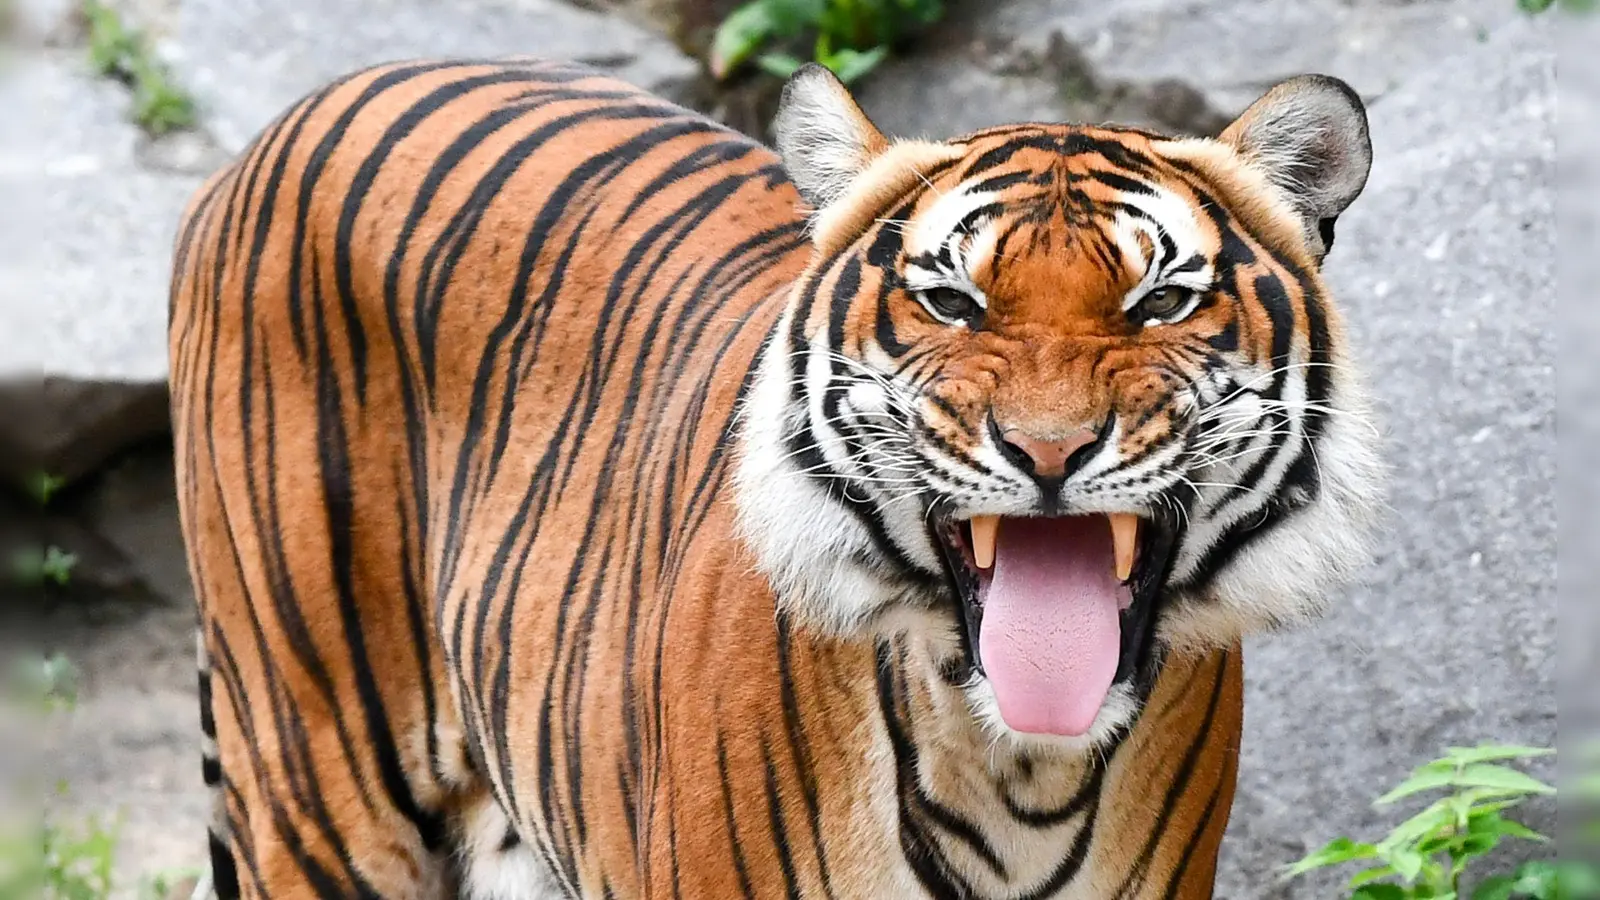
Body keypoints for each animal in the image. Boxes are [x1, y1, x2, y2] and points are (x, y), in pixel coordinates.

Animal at [168, 57, 1383, 899]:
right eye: (951, 302)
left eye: (1162, 303)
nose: (1047, 451)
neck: (1019, 772)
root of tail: (292, 120)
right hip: (317, 782)